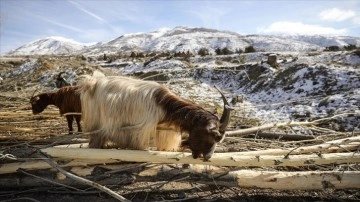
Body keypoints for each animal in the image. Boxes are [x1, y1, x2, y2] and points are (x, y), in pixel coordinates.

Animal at [78, 73, 231, 160]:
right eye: (212, 137)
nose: (208, 158)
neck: (164, 105)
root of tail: (91, 83)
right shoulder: (139, 131)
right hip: (96, 122)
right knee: (95, 140)